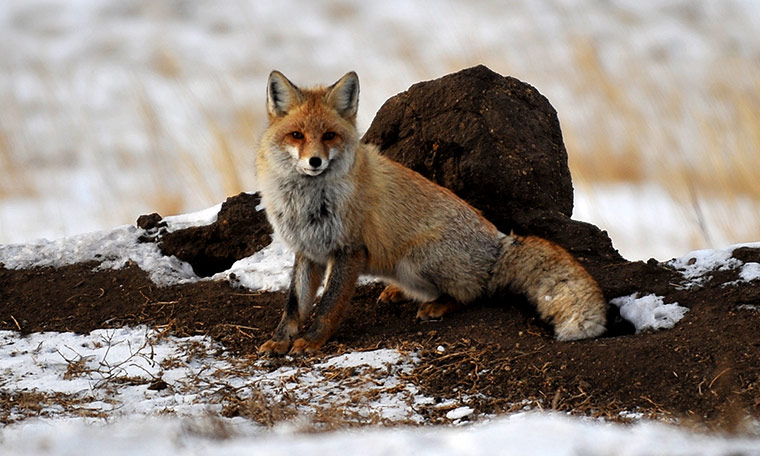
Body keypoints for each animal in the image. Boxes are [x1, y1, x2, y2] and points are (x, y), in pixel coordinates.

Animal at [256, 70, 607, 355]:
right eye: (297, 135)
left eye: (329, 136)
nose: (315, 161)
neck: (308, 201)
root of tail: (498, 243)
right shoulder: (308, 250)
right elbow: (294, 305)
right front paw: (280, 340)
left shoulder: (349, 249)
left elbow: (328, 306)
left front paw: (312, 341)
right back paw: (400, 293)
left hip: (417, 259)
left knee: (474, 293)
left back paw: (438, 306)